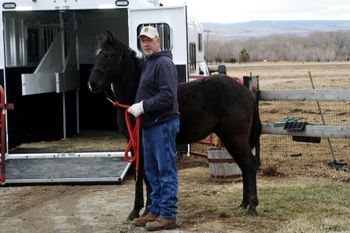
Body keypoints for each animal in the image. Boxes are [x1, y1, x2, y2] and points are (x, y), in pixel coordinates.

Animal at [89, 31, 262, 219]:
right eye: (96, 55)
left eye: (108, 56)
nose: (92, 84)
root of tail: (246, 92)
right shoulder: (134, 144)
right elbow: (141, 175)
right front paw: (137, 211)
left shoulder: (143, 143)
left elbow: (146, 175)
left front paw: (144, 210)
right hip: (228, 138)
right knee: (244, 166)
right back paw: (243, 204)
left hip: (235, 137)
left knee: (249, 165)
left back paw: (252, 207)